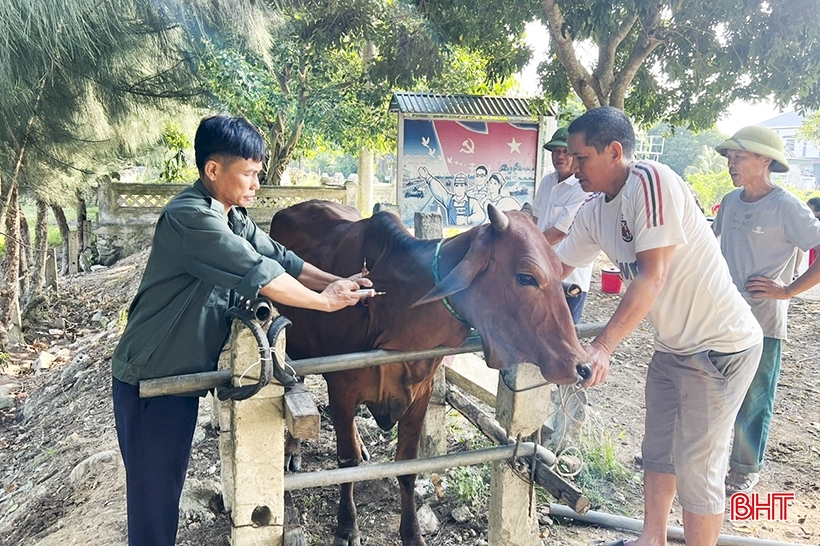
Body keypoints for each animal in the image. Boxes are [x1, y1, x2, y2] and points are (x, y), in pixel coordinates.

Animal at [272, 200, 592, 544]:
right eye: (525, 277)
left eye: (559, 270)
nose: (580, 365)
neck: (393, 308)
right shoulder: (342, 387)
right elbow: (347, 462)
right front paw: (347, 527)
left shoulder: (420, 393)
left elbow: (407, 468)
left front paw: (412, 533)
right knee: (296, 380)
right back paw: (292, 451)